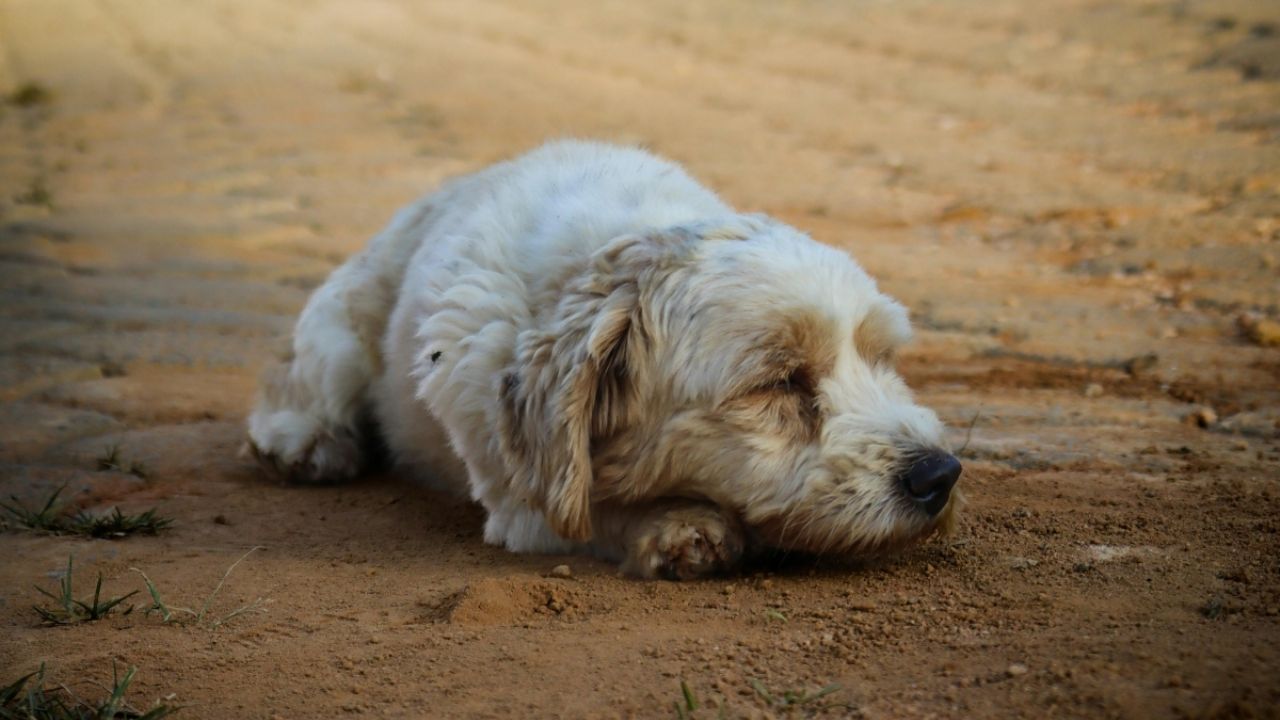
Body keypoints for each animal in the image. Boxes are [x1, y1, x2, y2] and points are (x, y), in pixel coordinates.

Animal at [247, 140, 962, 576]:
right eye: (778, 381)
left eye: (881, 357)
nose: (940, 474)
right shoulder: (525, 502)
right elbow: (600, 506)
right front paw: (678, 525)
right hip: (341, 332)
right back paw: (305, 443)